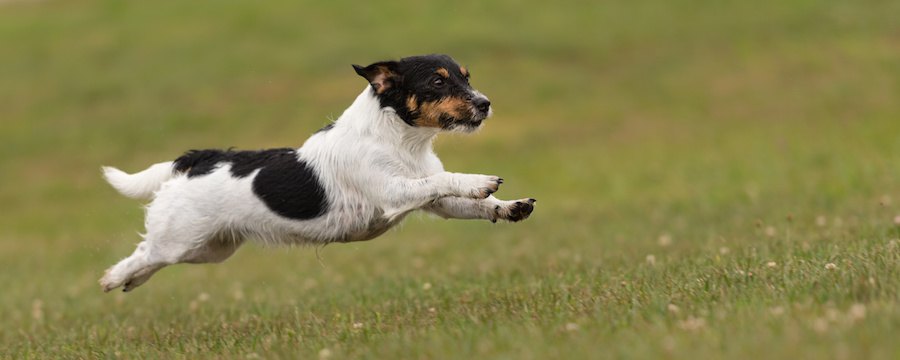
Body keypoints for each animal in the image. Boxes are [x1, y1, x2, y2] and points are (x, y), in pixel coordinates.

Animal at [98, 55, 536, 292]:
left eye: (466, 76)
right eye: (437, 81)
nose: (485, 103)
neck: (401, 140)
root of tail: (199, 160)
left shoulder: (437, 204)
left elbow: (471, 204)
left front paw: (509, 205)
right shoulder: (394, 193)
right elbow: (444, 180)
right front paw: (479, 180)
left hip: (210, 248)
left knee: (151, 261)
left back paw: (131, 281)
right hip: (179, 239)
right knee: (144, 252)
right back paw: (113, 277)